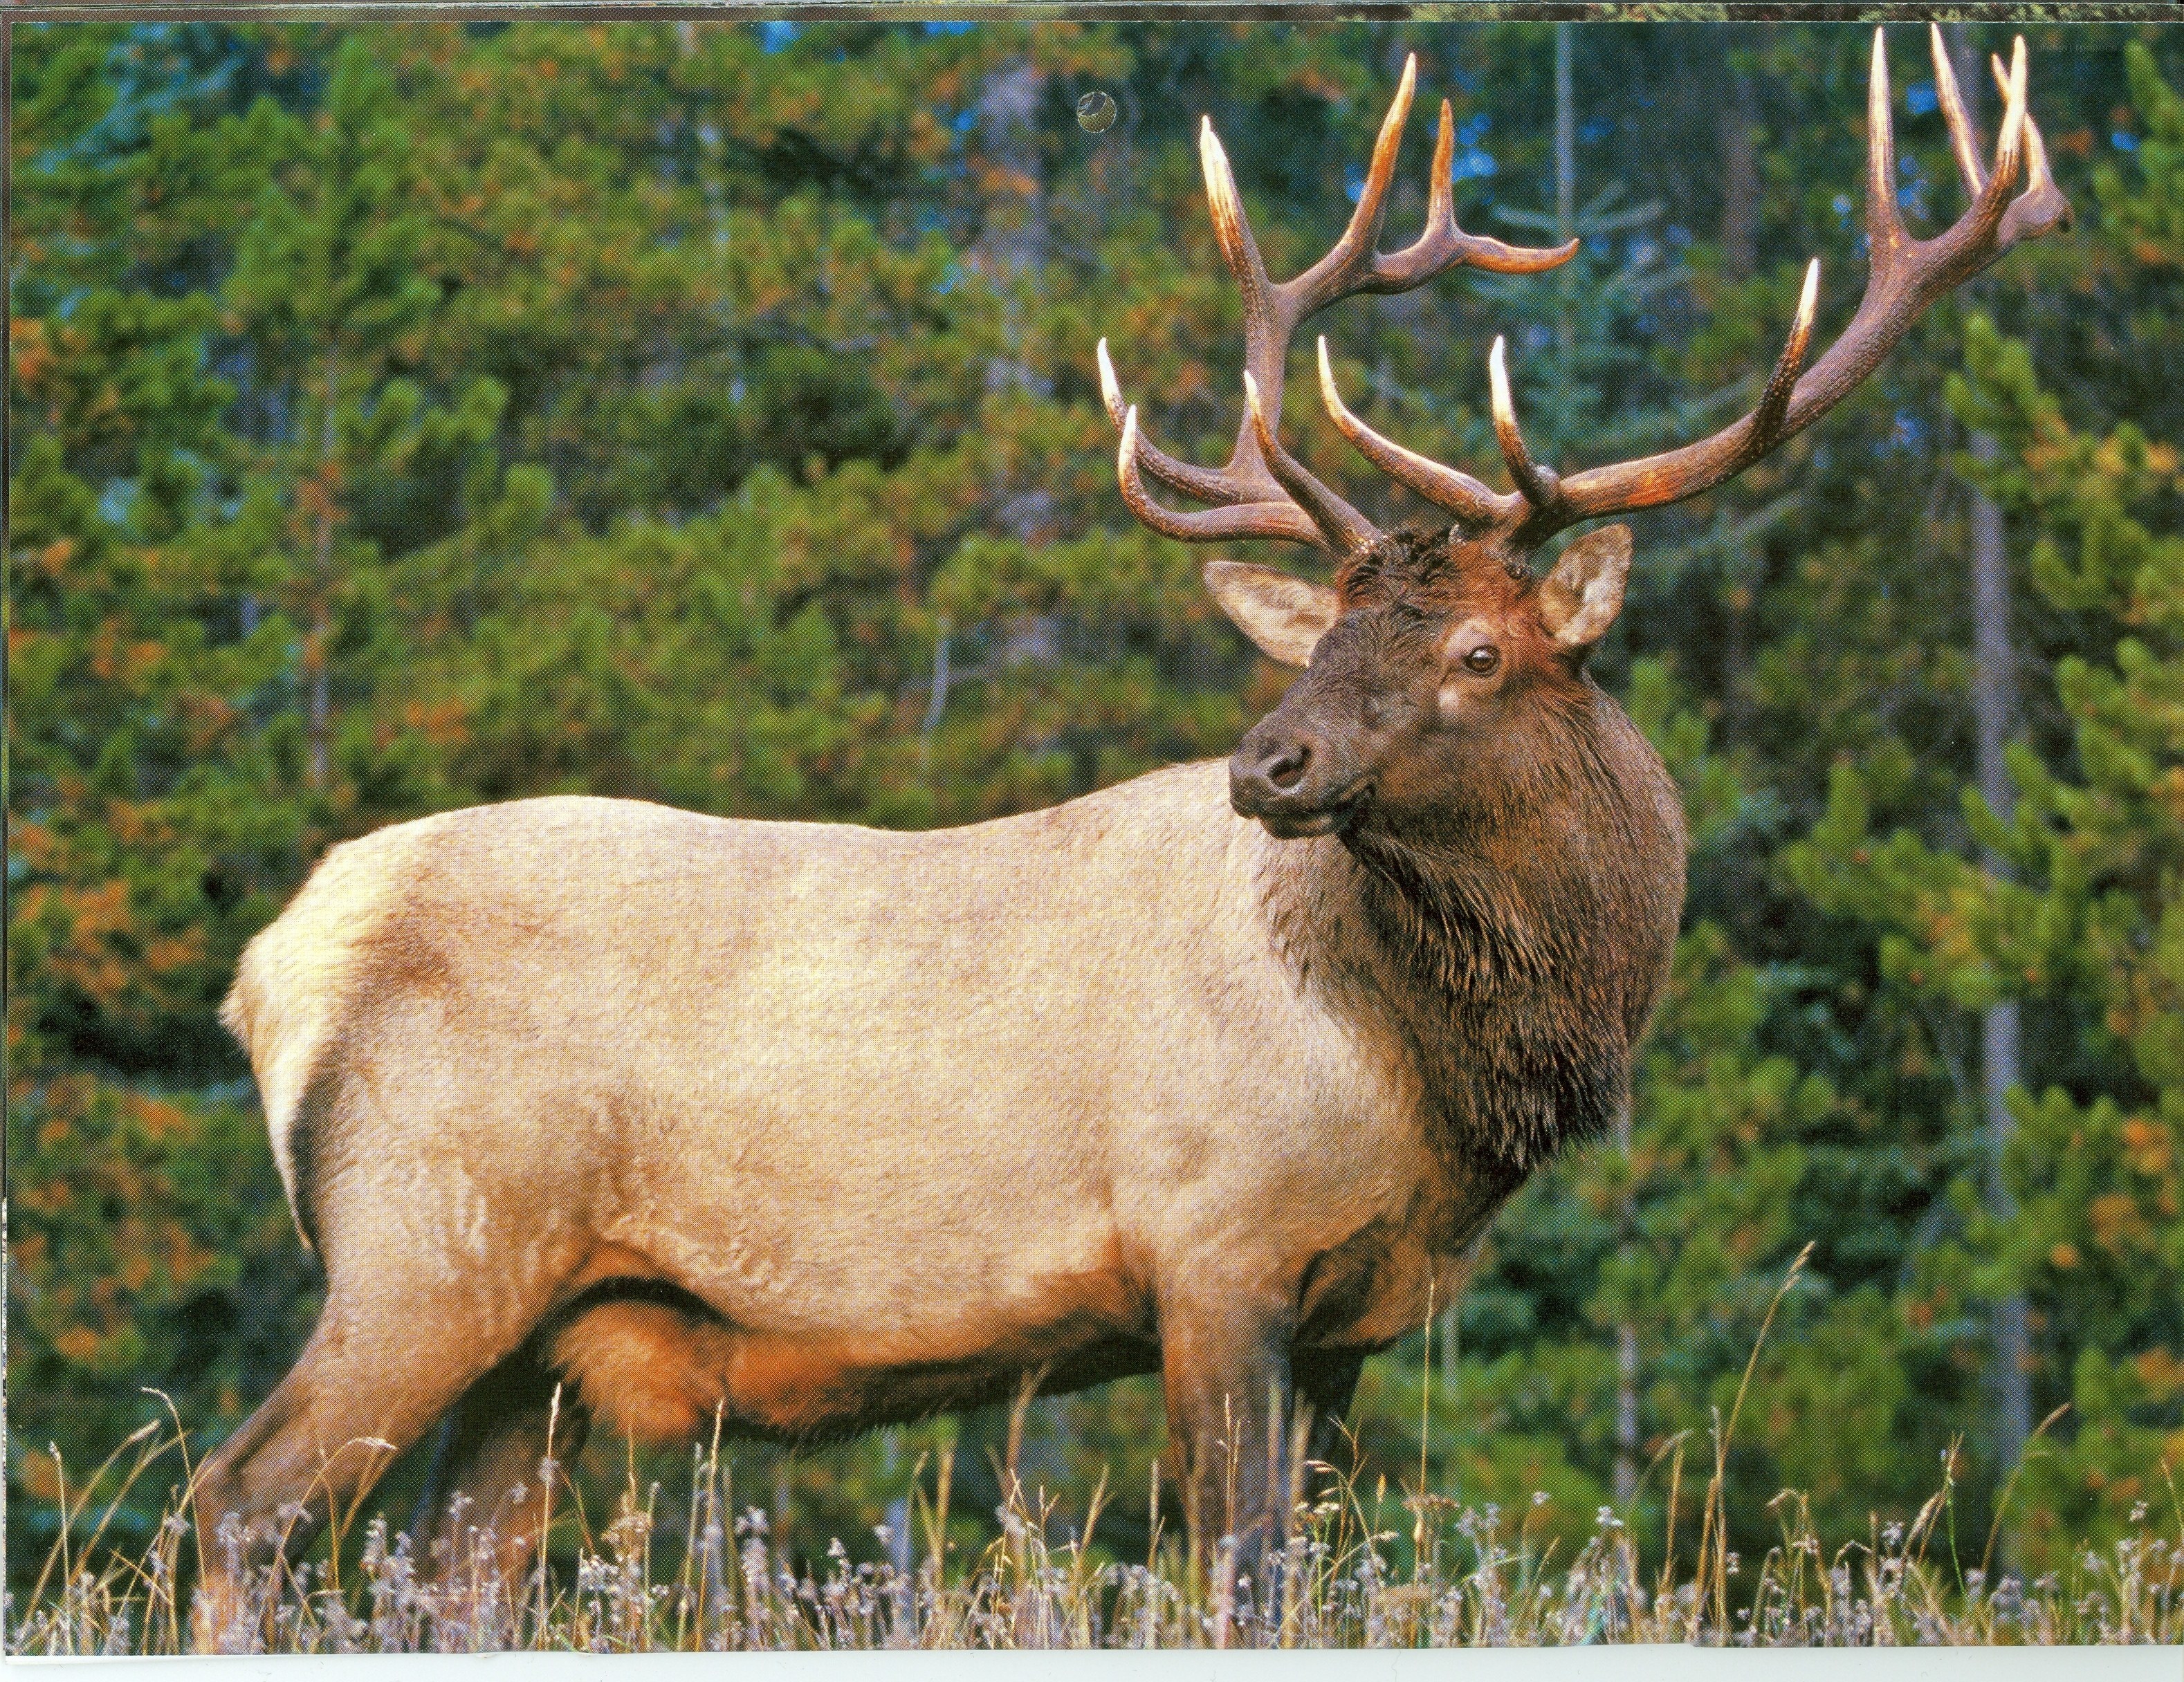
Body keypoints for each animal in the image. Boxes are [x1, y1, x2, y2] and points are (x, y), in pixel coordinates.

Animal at [190, 28, 2066, 1644]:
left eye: (1474, 651)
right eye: (1325, 635)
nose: (1271, 760)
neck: (1422, 1066)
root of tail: (280, 964)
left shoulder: (1348, 1320)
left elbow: (1315, 1580)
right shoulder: (1212, 1245)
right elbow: (1236, 1575)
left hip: (544, 1334)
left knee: (454, 1572)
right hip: (428, 1244)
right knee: (239, 1502)